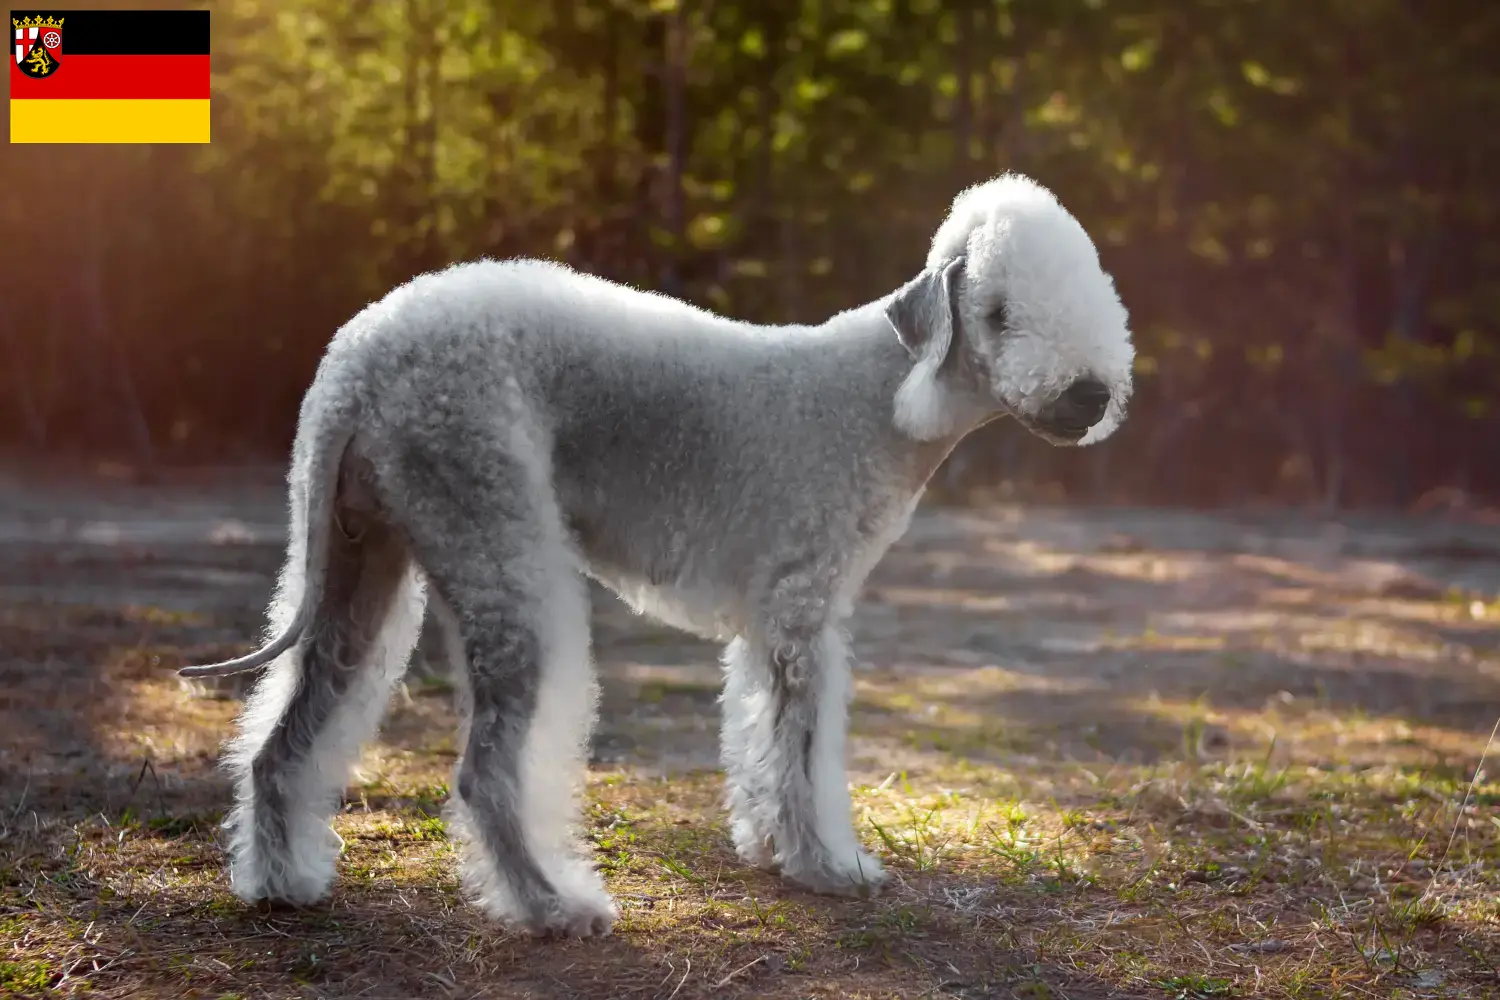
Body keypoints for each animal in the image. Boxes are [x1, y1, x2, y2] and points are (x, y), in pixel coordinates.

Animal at [181, 173, 1128, 941]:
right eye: (999, 312)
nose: (1090, 395)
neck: (883, 395)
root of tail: (355, 365)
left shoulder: (767, 625)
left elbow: (761, 741)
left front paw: (770, 848)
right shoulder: (804, 610)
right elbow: (805, 750)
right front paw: (828, 866)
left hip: (358, 562)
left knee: (283, 740)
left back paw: (282, 881)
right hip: (496, 541)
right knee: (484, 772)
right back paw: (553, 907)